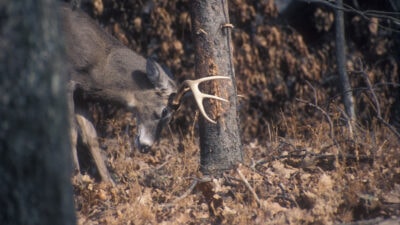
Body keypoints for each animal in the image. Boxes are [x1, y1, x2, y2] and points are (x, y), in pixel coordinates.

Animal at [61, 3, 231, 183]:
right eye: (164, 111)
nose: (146, 147)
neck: (97, 66)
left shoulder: (82, 93)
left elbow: (91, 137)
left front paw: (109, 183)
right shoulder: (68, 82)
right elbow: (71, 133)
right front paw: (76, 178)